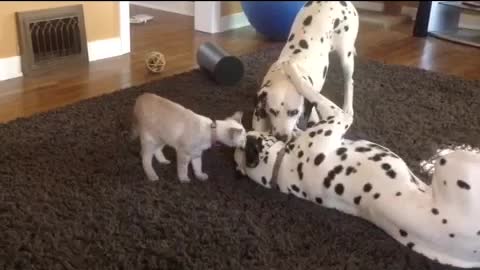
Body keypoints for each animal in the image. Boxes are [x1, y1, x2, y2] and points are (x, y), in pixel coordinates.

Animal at [234, 61, 480, 268]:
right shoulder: (338, 118)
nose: (248, 131)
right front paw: (293, 71)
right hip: (450, 162)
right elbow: (311, 91)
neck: (284, 167)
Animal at [253, 0, 358, 141]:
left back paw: (348, 107)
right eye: (272, 111)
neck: (284, 74)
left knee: (349, 82)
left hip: (346, 56)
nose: (282, 137)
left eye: (294, 112)